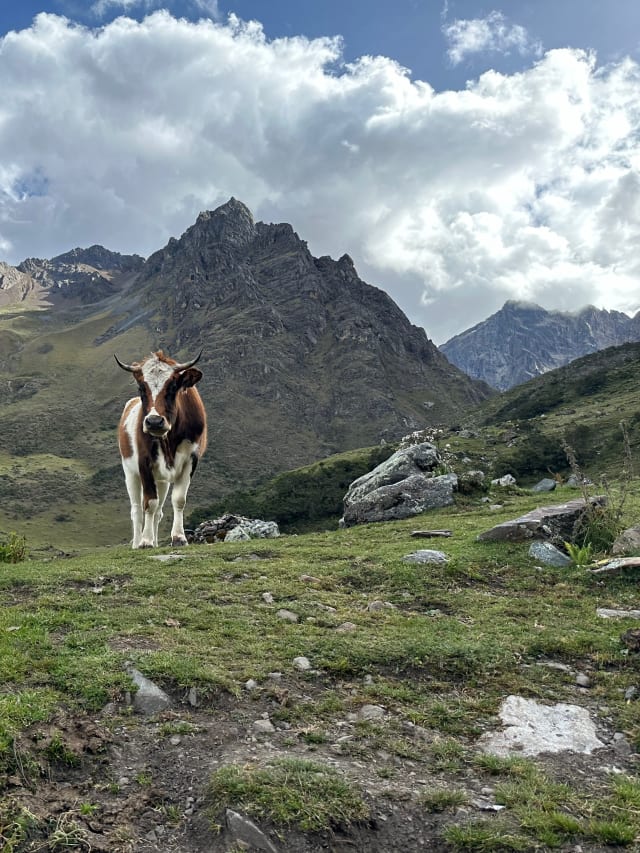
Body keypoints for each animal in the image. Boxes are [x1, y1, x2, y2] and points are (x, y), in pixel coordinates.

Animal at [115, 349, 207, 549]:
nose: (154, 421)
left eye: (173, 386)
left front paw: (179, 537)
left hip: (162, 480)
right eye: (141, 388)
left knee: (158, 511)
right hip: (130, 472)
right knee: (136, 509)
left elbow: (178, 499)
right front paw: (146, 541)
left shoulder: (191, 459)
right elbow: (149, 502)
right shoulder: (143, 462)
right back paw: (137, 542)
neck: (169, 440)